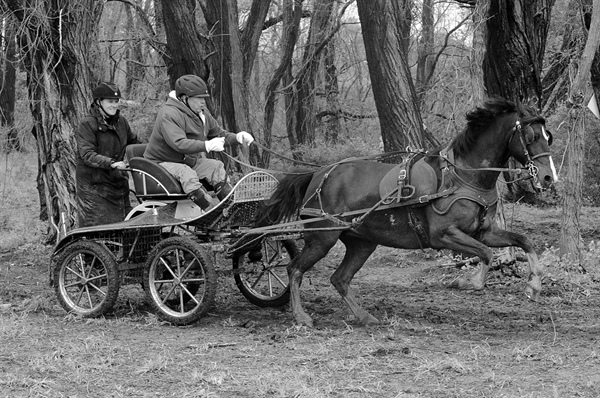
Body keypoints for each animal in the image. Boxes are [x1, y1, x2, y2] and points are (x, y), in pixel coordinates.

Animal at [264, 98, 556, 328]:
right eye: (531, 135)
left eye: (548, 135)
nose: (548, 176)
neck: (463, 176)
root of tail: (318, 174)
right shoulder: (444, 235)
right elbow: (486, 255)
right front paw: (464, 283)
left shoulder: (484, 232)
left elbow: (524, 241)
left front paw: (534, 286)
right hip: (322, 238)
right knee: (294, 269)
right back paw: (301, 317)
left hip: (361, 242)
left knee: (340, 278)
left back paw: (364, 317)